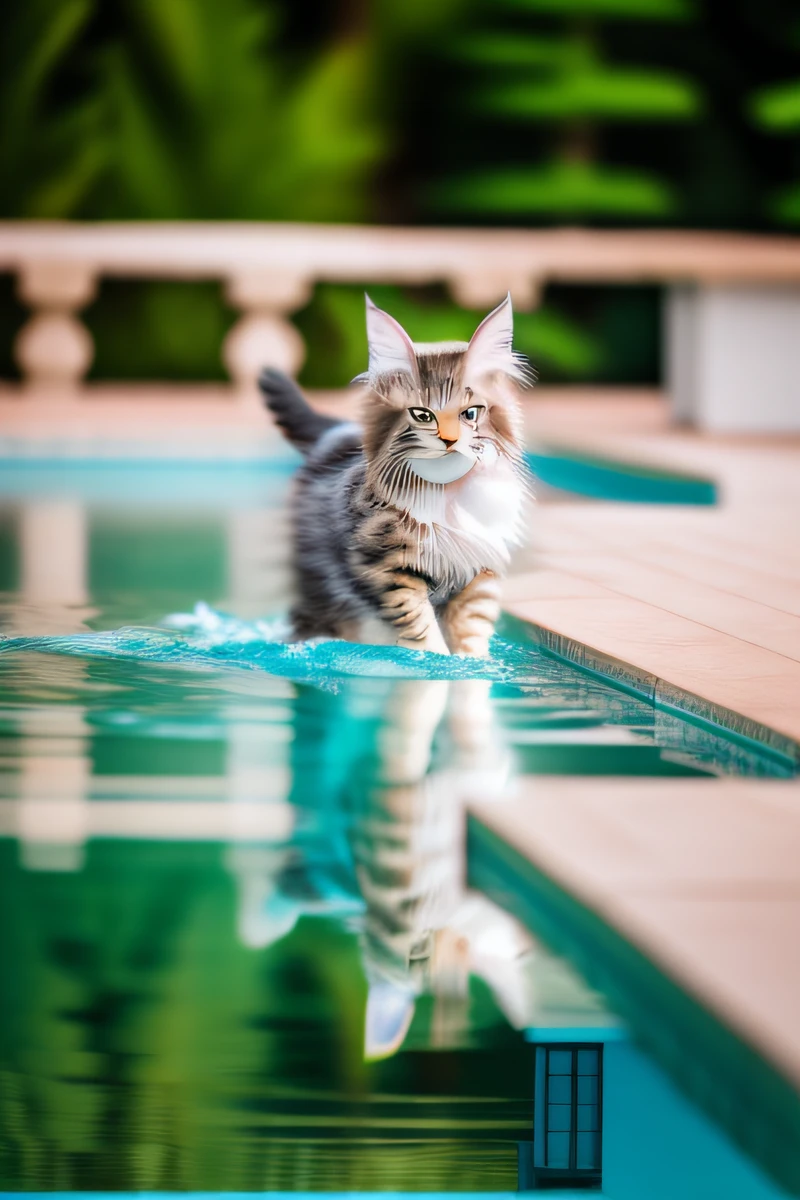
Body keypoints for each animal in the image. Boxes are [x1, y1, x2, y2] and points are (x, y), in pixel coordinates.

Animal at [261, 297, 532, 657]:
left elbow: (471, 630)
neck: (447, 495)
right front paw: (433, 660)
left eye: (471, 413)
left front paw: (471, 663)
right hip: (317, 574)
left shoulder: (481, 568)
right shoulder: (387, 566)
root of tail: (335, 431)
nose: (450, 441)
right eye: (422, 415)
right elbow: (419, 623)